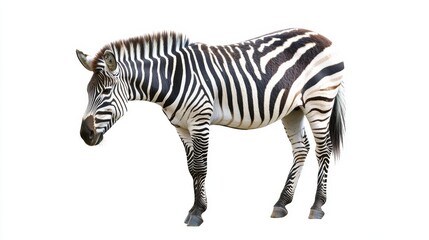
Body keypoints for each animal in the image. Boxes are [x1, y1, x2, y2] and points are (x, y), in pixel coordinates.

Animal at [76, 27, 344, 226]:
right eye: (87, 91)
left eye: (106, 92)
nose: (84, 134)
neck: (171, 79)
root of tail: (321, 36)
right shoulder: (181, 127)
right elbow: (191, 169)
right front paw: (196, 208)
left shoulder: (200, 121)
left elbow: (201, 167)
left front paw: (197, 212)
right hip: (293, 109)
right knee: (301, 149)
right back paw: (282, 203)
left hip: (319, 101)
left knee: (323, 150)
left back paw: (317, 205)